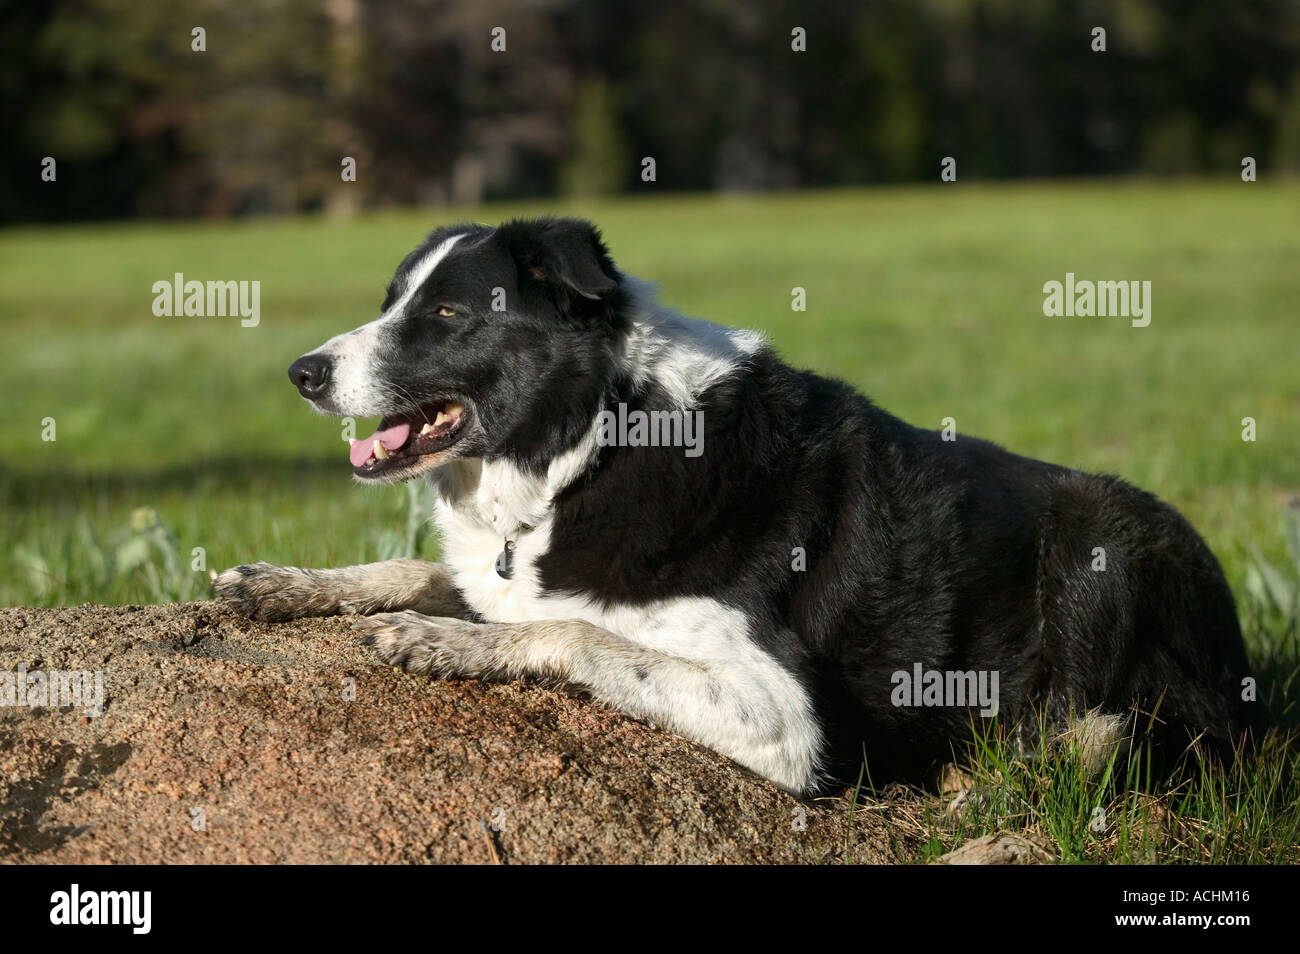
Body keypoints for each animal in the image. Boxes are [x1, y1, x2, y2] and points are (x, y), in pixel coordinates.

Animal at [215, 218, 1258, 800]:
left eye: (444, 316)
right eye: (394, 300)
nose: (303, 373)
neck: (596, 441)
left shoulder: (786, 717)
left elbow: (577, 637)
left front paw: (445, 645)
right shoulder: (505, 569)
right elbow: (431, 572)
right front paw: (285, 585)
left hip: (1102, 538)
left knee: (1082, 736)